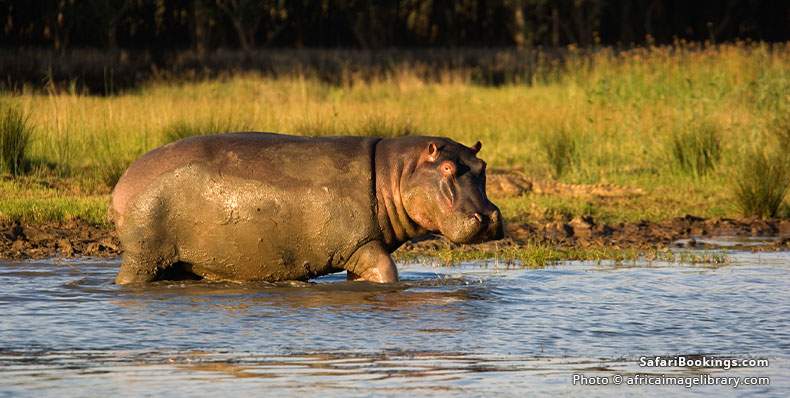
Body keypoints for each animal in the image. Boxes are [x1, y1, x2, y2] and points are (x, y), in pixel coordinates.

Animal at [110, 132, 504, 284]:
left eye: (483, 167)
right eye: (448, 168)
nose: (487, 217)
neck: (395, 172)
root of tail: (123, 180)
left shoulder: (361, 250)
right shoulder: (360, 245)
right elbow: (386, 271)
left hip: (184, 260)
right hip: (145, 255)